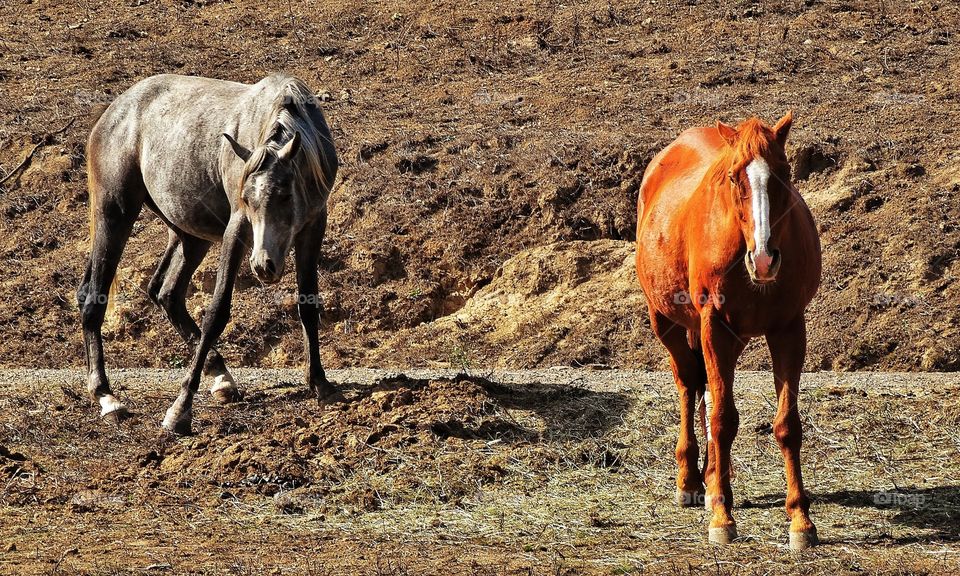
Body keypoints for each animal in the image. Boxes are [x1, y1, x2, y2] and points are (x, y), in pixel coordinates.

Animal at [78, 73, 342, 432]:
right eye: (246, 199)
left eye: (286, 194)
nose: (263, 265)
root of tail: (111, 113)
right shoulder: (238, 228)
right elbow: (216, 313)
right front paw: (180, 409)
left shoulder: (314, 225)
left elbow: (308, 304)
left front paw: (320, 381)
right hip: (114, 215)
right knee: (95, 299)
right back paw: (106, 395)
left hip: (189, 236)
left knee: (165, 293)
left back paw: (221, 376)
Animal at [632, 112, 820, 548]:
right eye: (735, 177)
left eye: (784, 173)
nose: (765, 259)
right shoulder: (713, 327)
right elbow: (721, 419)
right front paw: (722, 514)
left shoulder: (789, 329)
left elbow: (787, 424)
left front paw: (800, 520)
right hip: (668, 324)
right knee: (690, 387)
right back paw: (691, 480)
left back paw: (714, 474)